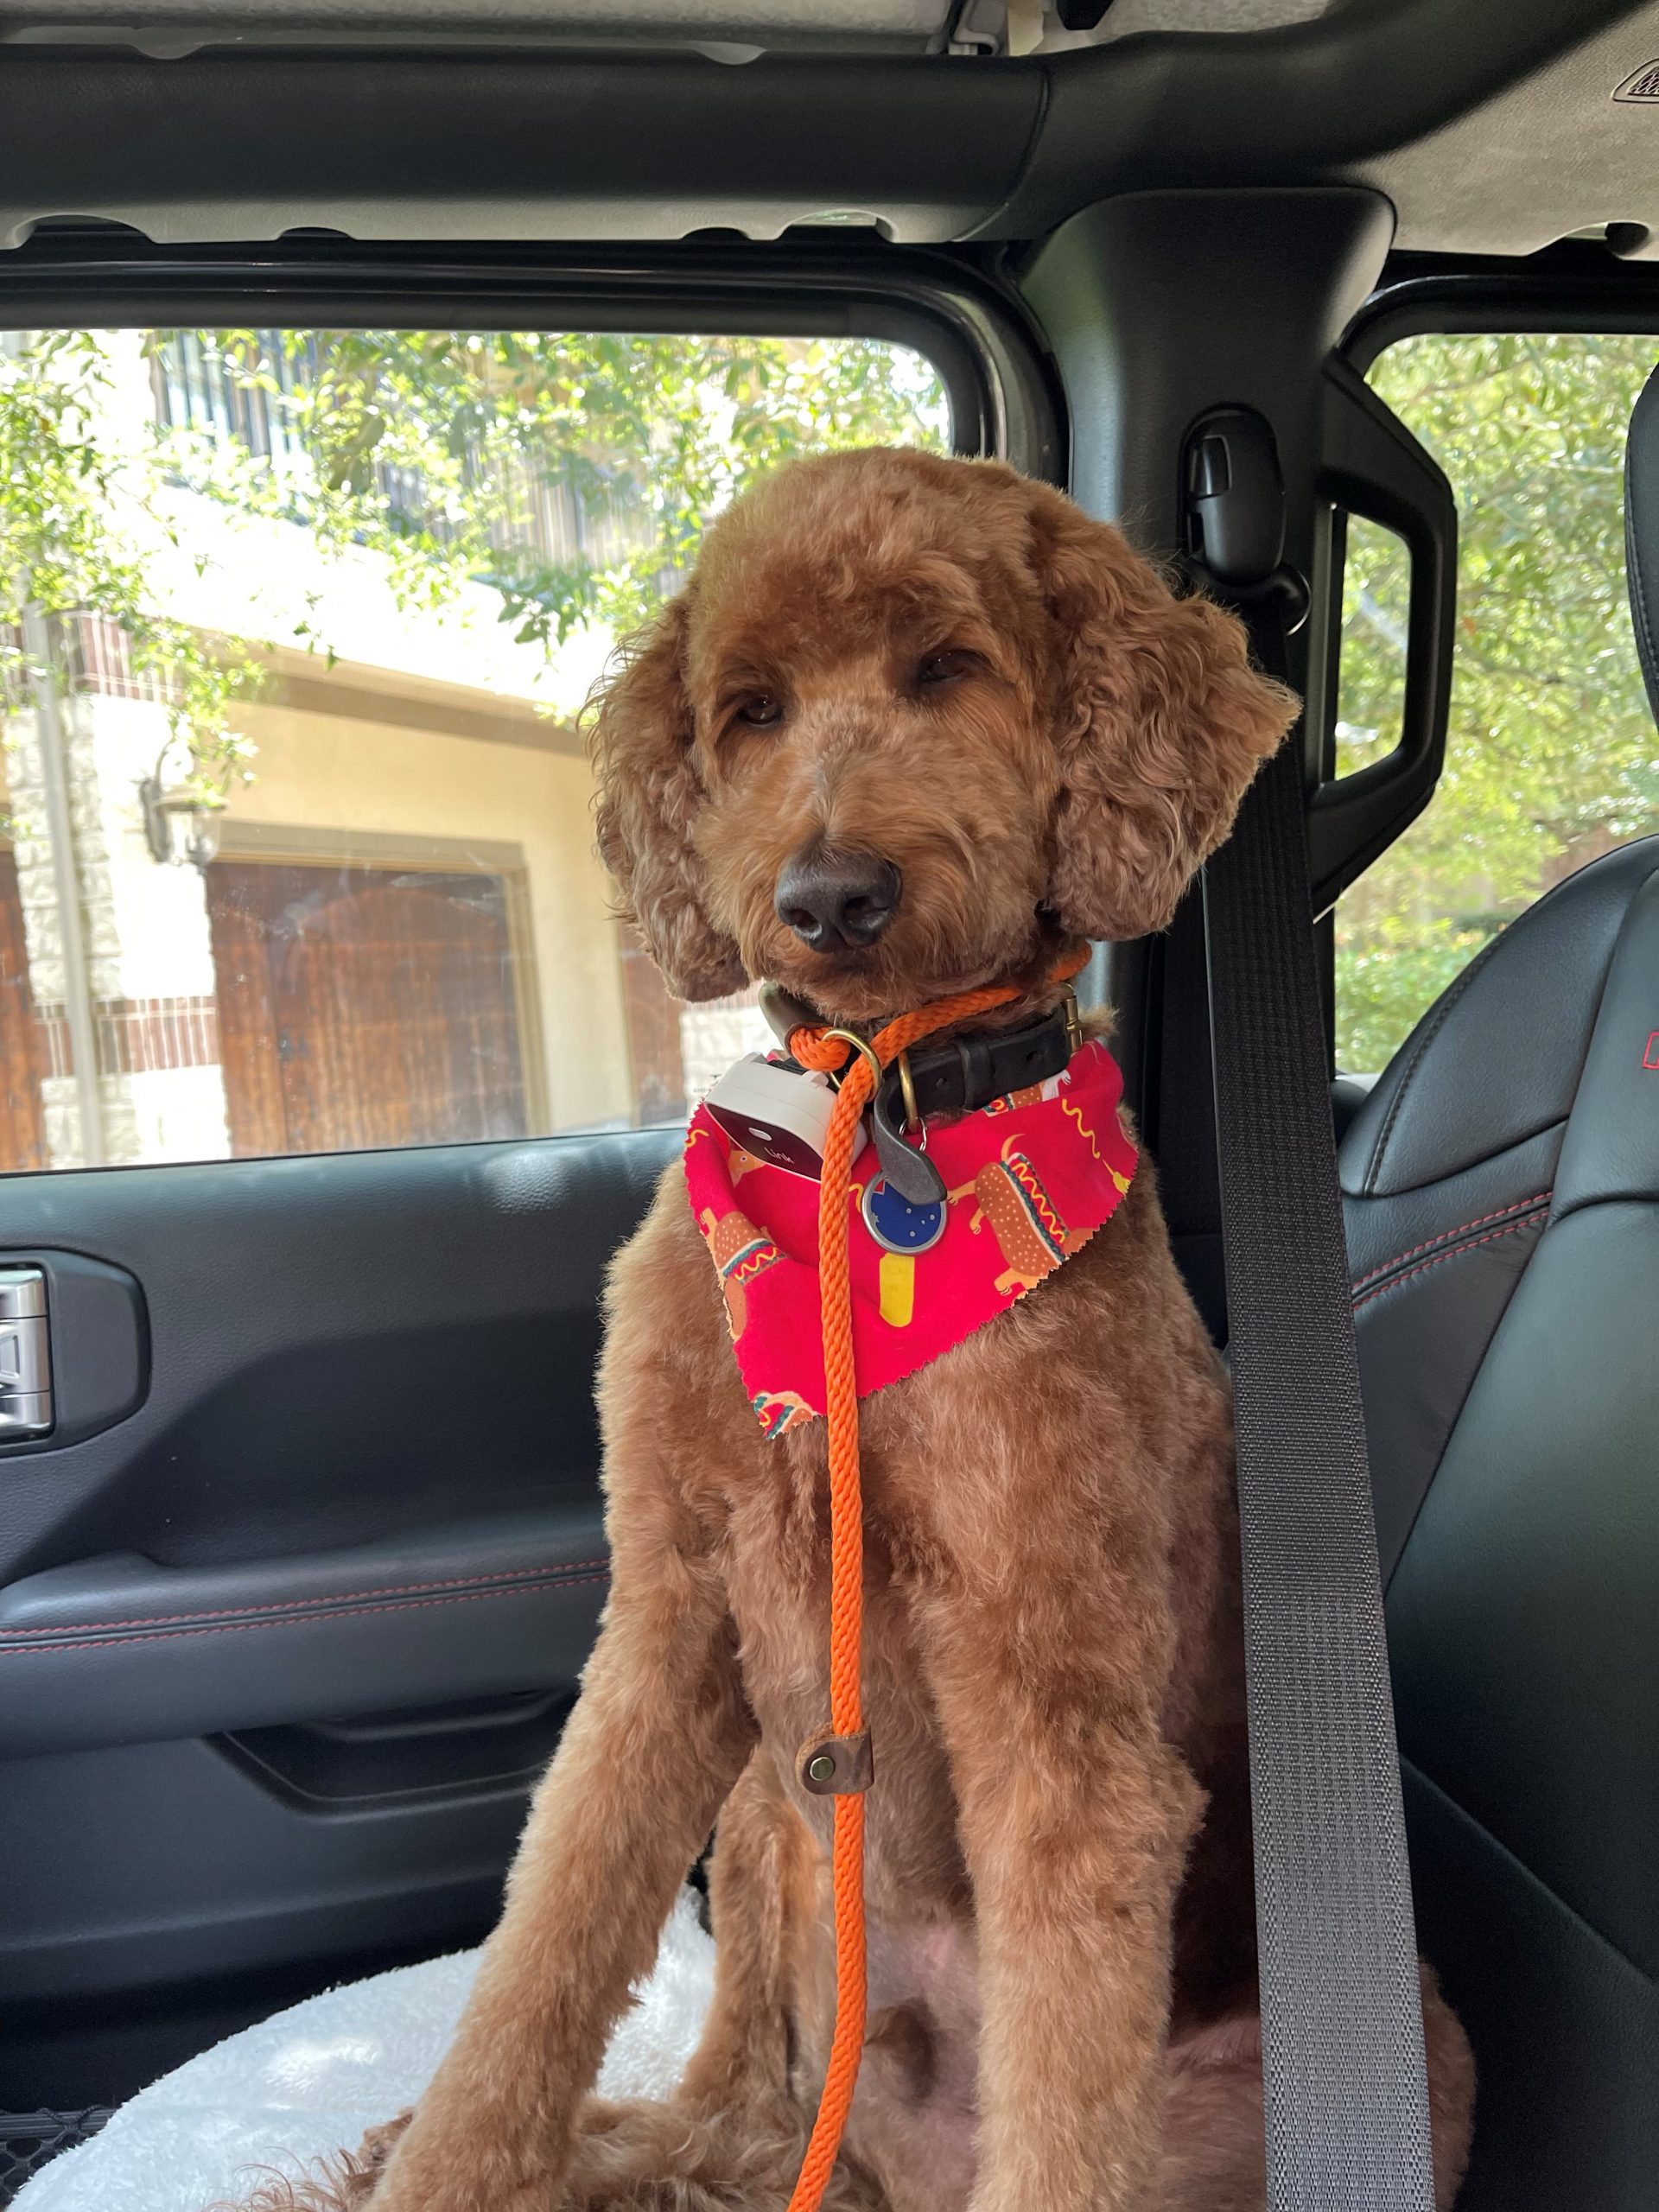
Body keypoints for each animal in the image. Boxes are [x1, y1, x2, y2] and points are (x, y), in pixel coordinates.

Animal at [223, 448, 1474, 2212]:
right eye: (748, 710)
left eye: (947, 668)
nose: (827, 895)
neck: (869, 1131)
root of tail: (890, 2170)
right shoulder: (669, 1612)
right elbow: (536, 1966)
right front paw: (448, 2161)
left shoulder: (1059, 1721)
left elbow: (1065, 2107)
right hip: (767, 1831)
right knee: (718, 2119)